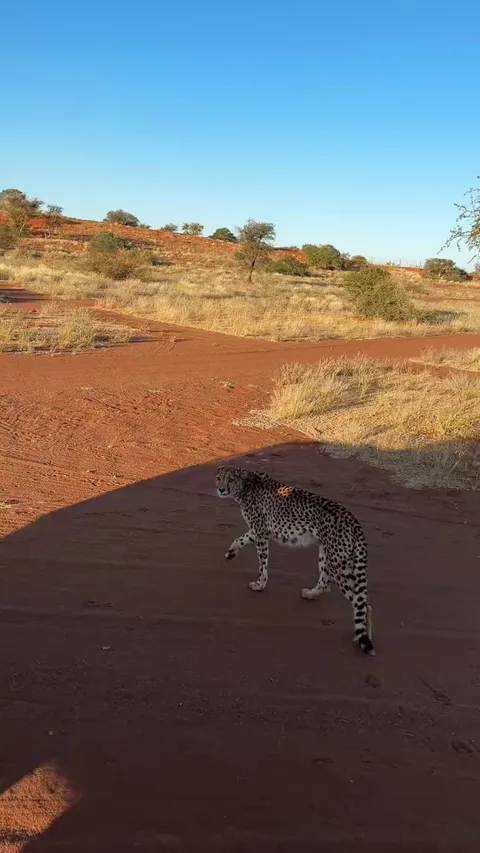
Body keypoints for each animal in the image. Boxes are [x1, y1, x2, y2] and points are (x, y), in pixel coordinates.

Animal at [216, 465, 374, 655]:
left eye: (230, 480)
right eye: (218, 478)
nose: (221, 489)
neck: (246, 485)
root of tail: (353, 520)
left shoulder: (261, 532)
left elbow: (262, 563)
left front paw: (260, 584)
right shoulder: (258, 531)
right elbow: (240, 539)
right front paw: (231, 552)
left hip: (340, 566)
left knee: (362, 604)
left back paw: (364, 638)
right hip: (327, 555)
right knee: (326, 583)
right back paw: (311, 594)